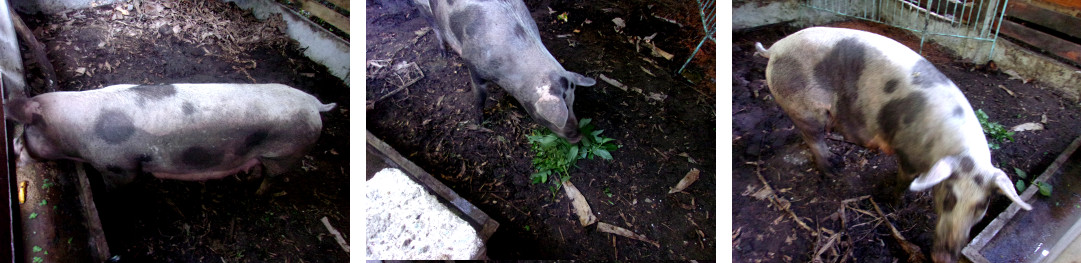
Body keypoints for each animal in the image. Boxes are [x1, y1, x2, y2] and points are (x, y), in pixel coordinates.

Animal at [4, 83, 332, 191]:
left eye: (27, 129)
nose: (13, 148)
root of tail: (315, 104)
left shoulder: (118, 165)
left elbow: (120, 183)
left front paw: (108, 194)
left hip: (287, 152)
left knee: (274, 177)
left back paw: (258, 192)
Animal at [415, 0, 601, 143]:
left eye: (572, 103)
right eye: (564, 107)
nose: (578, 136)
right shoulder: (473, 65)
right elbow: (479, 97)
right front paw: (480, 122)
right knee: (433, 25)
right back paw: (443, 54)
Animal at [756, 27, 1033, 263]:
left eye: (981, 207)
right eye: (948, 199)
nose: (944, 257)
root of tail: (775, 48)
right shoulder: (907, 154)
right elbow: (902, 181)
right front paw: (895, 203)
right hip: (802, 107)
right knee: (814, 139)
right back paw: (834, 169)